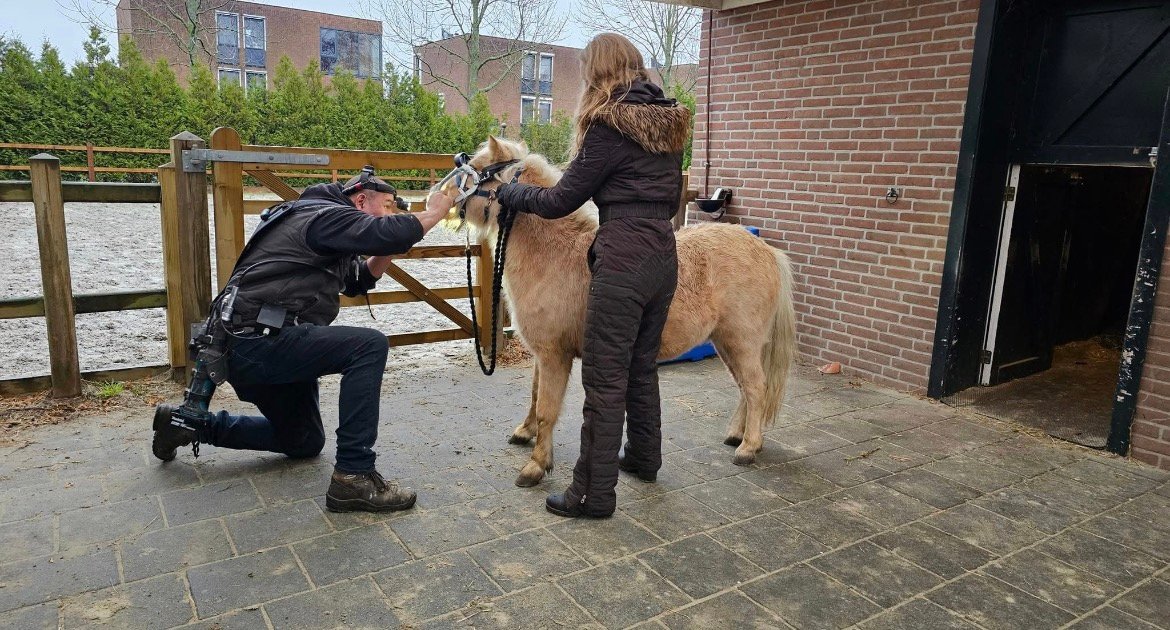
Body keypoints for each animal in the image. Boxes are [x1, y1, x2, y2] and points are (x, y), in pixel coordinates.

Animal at [461, 136, 798, 487]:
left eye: (479, 170)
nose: (446, 199)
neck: (555, 254)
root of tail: (768, 251)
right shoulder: (544, 354)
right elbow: (535, 394)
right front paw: (525, 433)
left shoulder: (555, 355)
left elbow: (546, 409)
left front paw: (536, 466)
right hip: (728, 343)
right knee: (746, 388)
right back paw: (737, 435)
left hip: (741, 341)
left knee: (756, 387)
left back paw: (748, 447)